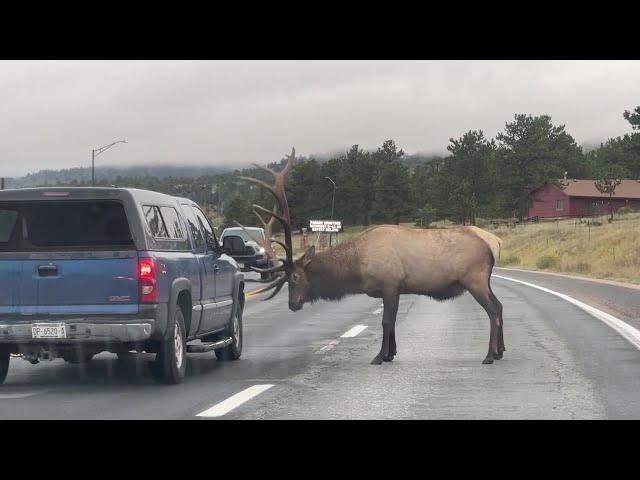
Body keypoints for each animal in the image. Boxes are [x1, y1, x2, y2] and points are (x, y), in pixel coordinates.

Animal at [236, 146, 504, 364]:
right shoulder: (394, 288)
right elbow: (391, 323)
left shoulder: (390, 284)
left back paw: (489, 355)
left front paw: (379, 356)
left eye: (295, 277)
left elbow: (386, 322)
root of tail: (494, 244)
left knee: (492, 310)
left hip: (475, 279)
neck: (357, 268)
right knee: (499, 306)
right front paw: (390, 354)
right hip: (484, 280)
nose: (293, 304)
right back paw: (501, 351)